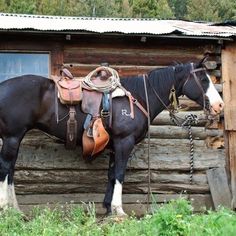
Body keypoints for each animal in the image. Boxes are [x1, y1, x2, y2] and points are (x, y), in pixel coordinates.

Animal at [0, 58, 223, 215]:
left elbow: (111, 174)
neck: (139, 97)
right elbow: (120, 174)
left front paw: (108, 208)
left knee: (10, 170)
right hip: (12, 137)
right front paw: (118, 210)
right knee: (5, 168)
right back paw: (5, 208)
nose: (219, 105)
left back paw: (16, 210)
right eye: (204, 80)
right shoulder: (125, 142)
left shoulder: (116, 145)